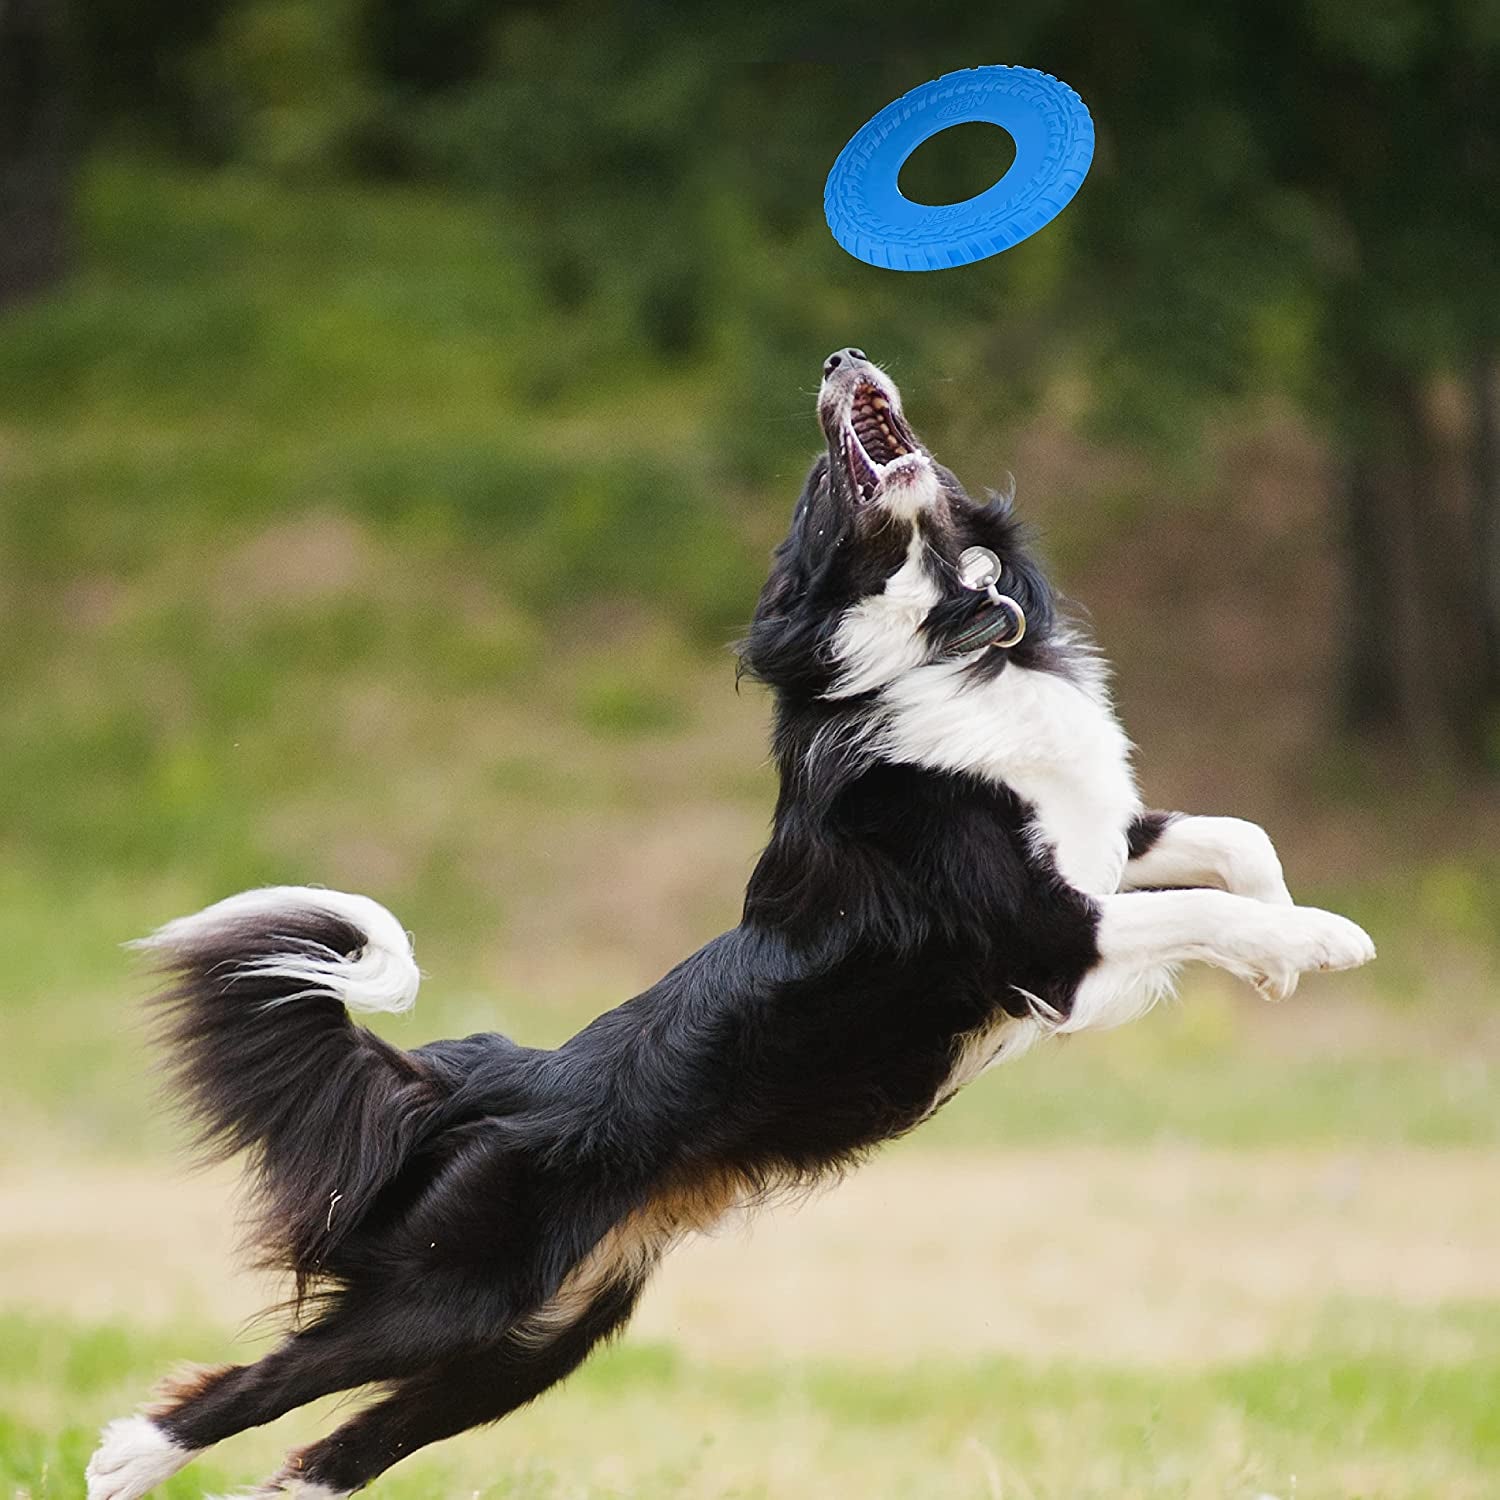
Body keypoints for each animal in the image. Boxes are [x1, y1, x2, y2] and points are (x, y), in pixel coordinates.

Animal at [82, 351, 1374, 1500]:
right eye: (814, 491)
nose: (842, 354)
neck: (951, 651)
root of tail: (497, 1084)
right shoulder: (1044, 940)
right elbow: (1204, 900)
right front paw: (1314, 943)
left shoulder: (1103, 841)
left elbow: (1237, 841)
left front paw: (1294, 945)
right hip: (453, 1295)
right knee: (265, 1381)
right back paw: (124, 1459)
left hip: (537, 1339)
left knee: (329, 1455)